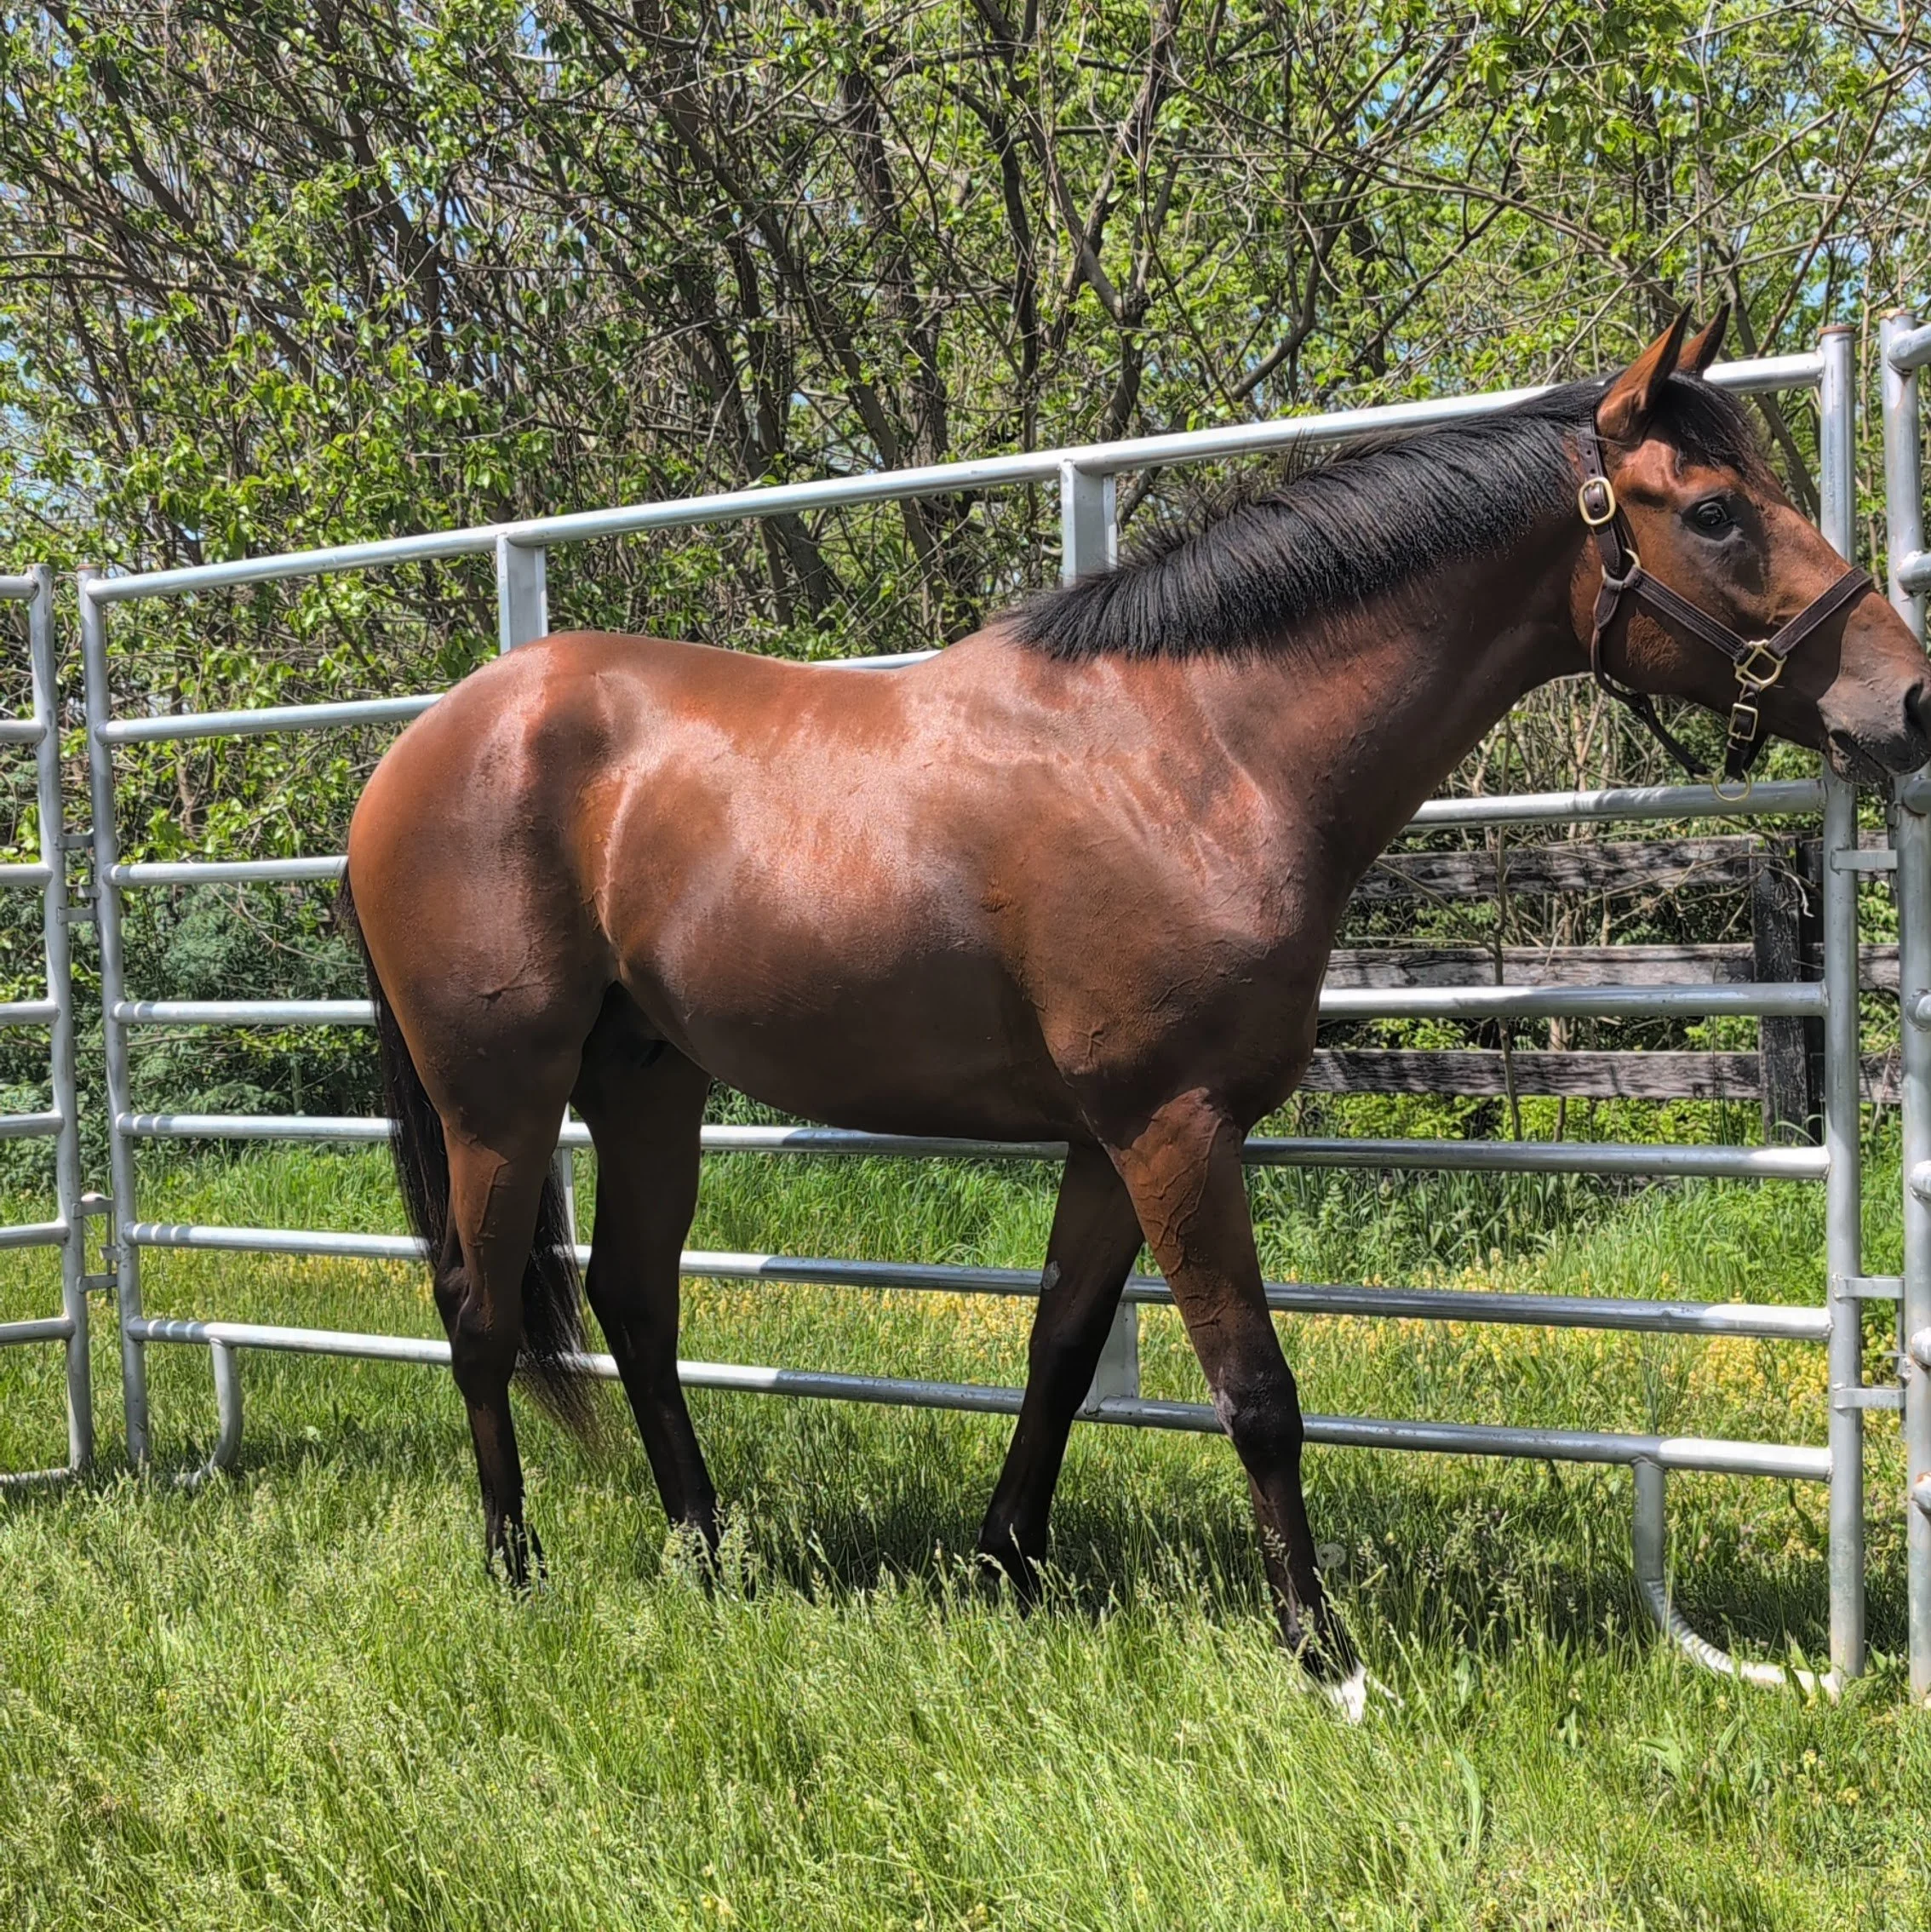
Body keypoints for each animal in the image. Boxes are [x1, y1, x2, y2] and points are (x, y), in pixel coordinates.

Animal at [340, 312, 1930, 1701]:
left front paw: (1006, 1568)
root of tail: (422, 747)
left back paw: (707, 1550)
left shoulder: (1110, 1139)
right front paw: (1323, 1656)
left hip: (648, 1076)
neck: (1200, 753)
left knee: (634, 1297)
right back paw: (517, 1566)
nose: (1909, 702)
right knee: (479, 1310)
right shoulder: (1174, 1126)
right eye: (1716, 512)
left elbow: (1057, 1348)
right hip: (500, 1095)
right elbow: (1256, 1389)